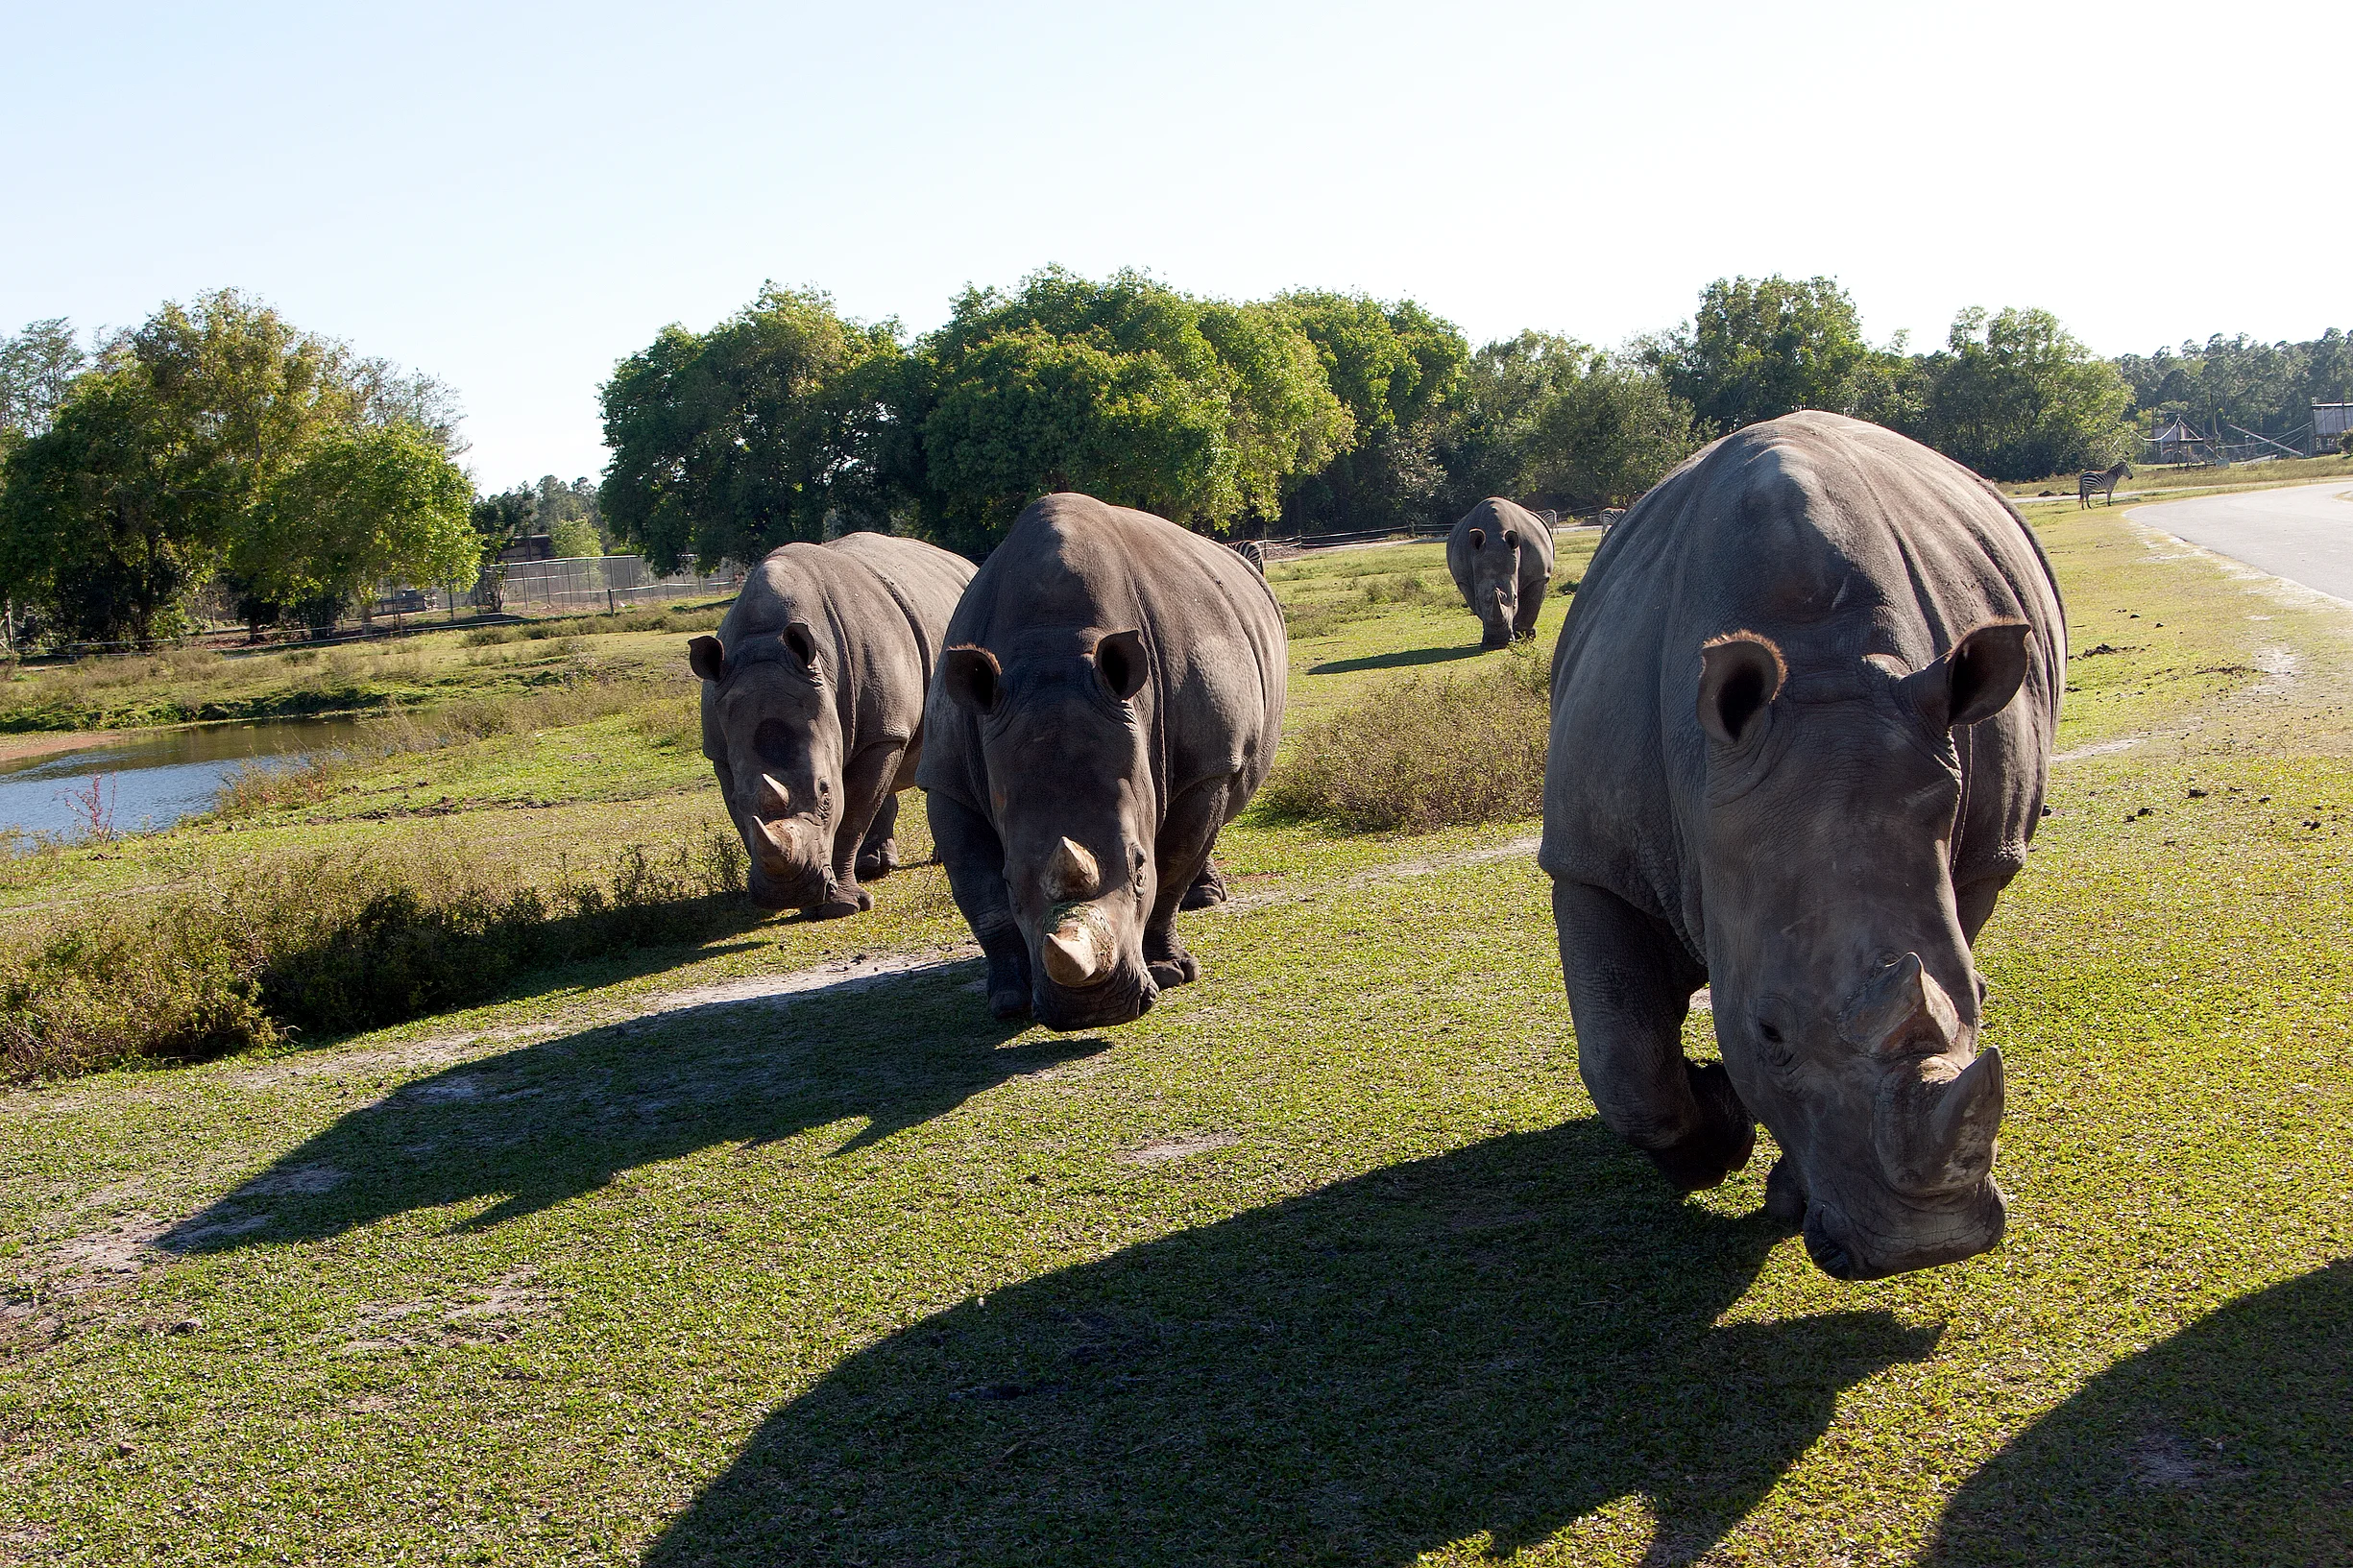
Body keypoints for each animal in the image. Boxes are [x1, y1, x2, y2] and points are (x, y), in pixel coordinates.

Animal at [688, 532, 976, 917]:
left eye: (825, 792)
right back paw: (875, 867)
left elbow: (852, 812)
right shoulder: (719, 749)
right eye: (740, 800)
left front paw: (840, 908)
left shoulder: (883, 734)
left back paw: (938, 860)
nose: (788, 894)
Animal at [919, 494, 1286, 1031]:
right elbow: (979, 895)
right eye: (1011, 882)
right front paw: (1008, 1000)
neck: (1052, 648)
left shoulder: (1208, 758)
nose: (1090, 1010)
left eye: (1138, 869)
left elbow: (1171, 868)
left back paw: (1206, 900)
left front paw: (1170, 973)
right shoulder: (948, 779)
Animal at [1447, 497, 1558, 649]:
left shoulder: (1538, 575)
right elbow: (1478, 606)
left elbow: (1531, 605)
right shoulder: (1463, 579)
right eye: (1478, 600)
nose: (1497, 642)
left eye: (1515, 599)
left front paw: (1525, 637)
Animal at [1539, 412, 2064, 1279]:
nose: (1923, 1246)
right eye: (1769, 1034)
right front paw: (1719, 1132)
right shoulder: (1591, 857)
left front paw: (1777, 1179)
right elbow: (1625, 1067)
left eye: (1979, 1004)